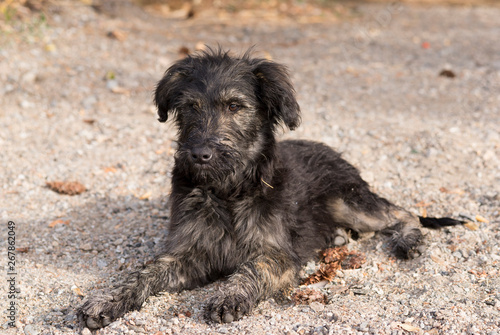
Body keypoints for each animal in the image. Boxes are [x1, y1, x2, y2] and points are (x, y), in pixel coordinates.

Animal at [76, 48, 462, 330]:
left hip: (349, 200)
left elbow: (251, 269)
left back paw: (408, 240)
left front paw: (229, 297)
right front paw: (106, 300)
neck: (228, 191)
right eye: (189, 107)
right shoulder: (187, 253)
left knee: (403, 213)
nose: (199, 154)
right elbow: (143, 273)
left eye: (235, 106)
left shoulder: (277, 255)